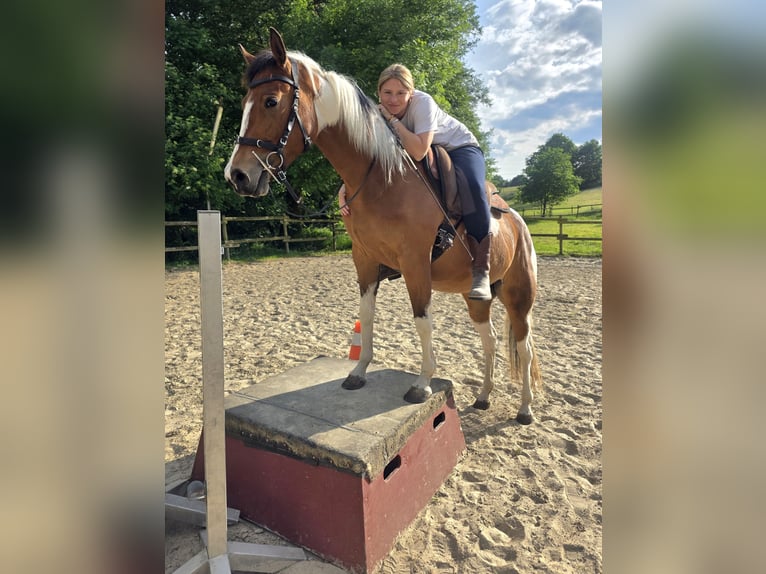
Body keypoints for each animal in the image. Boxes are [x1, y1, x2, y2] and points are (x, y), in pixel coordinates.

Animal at [224, 28, 542, 424]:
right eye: (244, 102)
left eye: (270, 101)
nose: (237, 175)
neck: (382, 177)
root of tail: (517, 222)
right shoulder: (364, 260)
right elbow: (366, 314)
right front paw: (358, 372)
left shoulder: (416, 264)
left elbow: (422, 320)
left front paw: (422, 383)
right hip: (476, 299)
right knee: (491, 341)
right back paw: (483, 396)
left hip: (520, 297)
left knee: (524, 348)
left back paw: (525, 408)